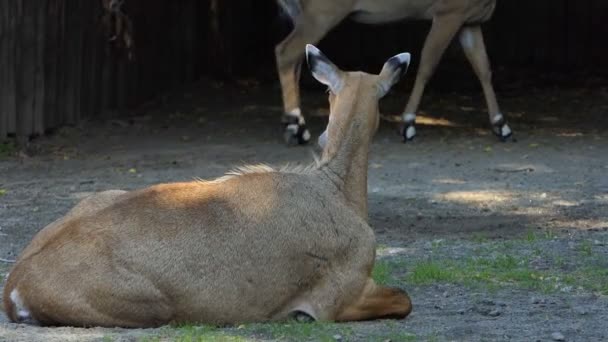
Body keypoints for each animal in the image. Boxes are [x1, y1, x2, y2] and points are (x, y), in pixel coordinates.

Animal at [2, 44, 414, 326]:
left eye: (331, 93)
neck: (337, 187)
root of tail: (15, 286)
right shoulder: (339, 296)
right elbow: (405, 300)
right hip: (156, 307)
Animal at [276, 0, 512, 144]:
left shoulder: (469, 20)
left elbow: (483, 68)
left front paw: (501, 125)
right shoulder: (448, 13)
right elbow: (427, 64)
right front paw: (407, 124)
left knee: (297, 59)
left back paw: (295, 124)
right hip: (321, 13)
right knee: (285, 52)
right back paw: (296, 127)